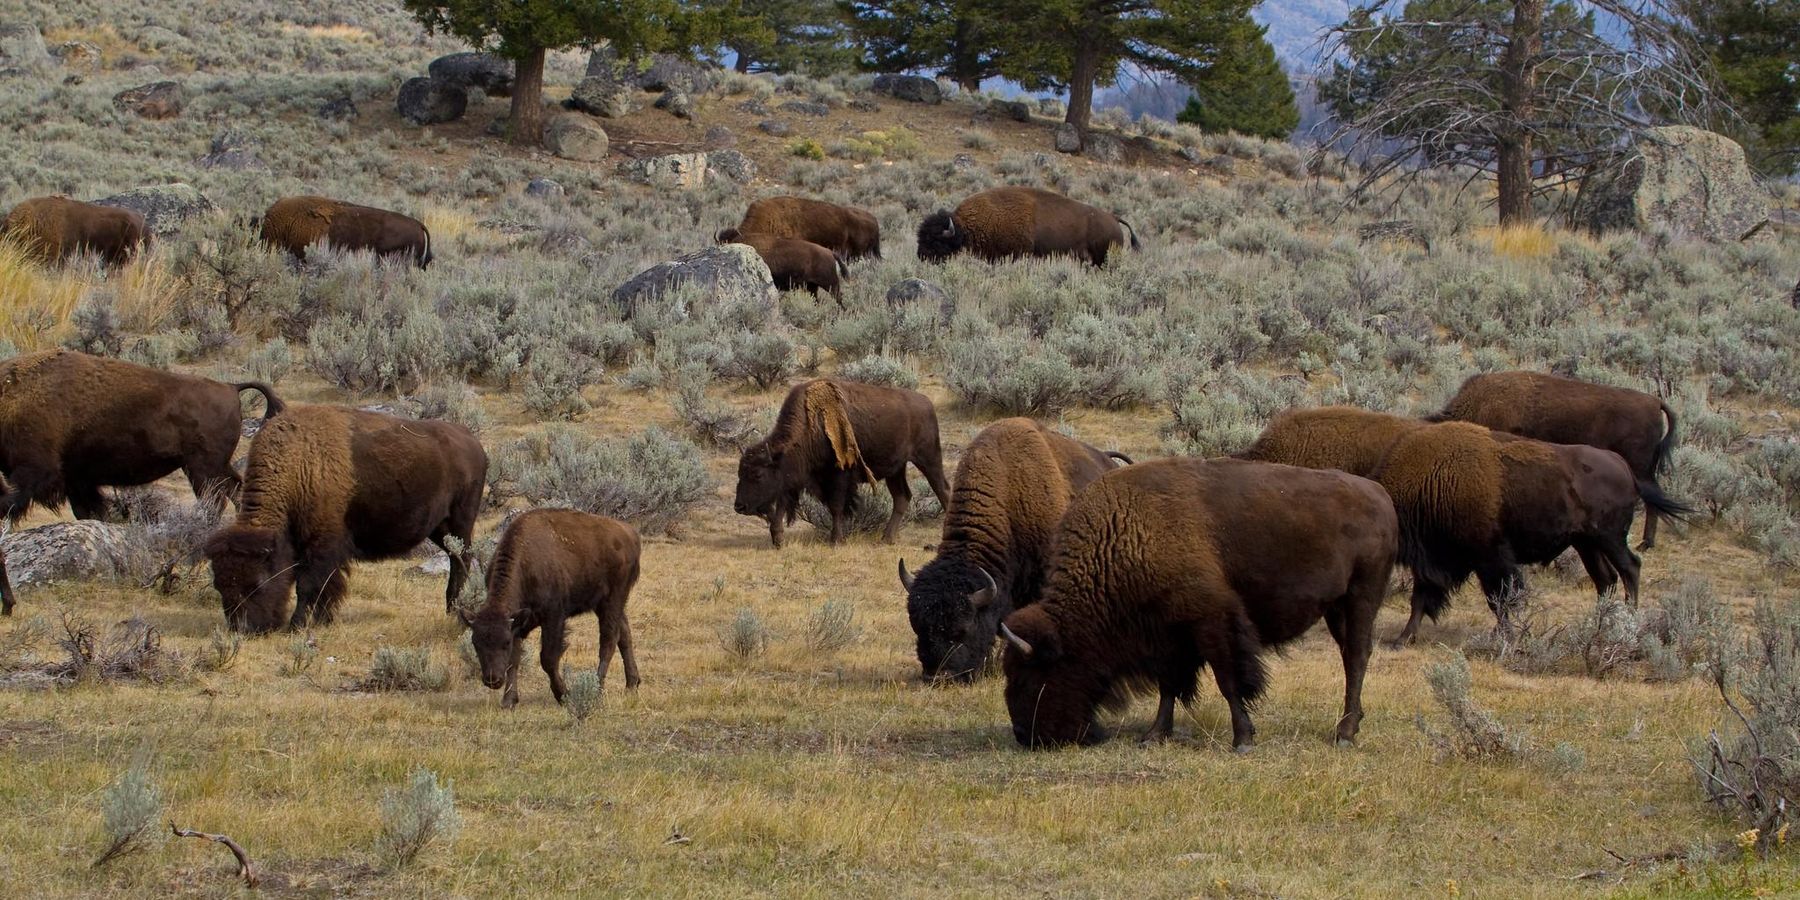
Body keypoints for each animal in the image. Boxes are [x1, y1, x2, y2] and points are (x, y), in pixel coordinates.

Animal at [0, 350, 282, 521]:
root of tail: (231, 388)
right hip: (213, 467)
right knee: (236, 490)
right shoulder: (78, 480)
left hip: (202, 469)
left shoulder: (36, 471)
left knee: (216, 500)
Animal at [205, 404, 486, 633]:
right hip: (440, 529)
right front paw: (322, 620)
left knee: (462, 559)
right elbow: (325, 585)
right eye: (219, 585)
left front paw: (298, 625)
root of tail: (473, 443)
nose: (243, 629)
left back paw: (456, 609)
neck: (299, 464)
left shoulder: (322, 545)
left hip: (461, 522)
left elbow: (309, 585)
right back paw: (451, 608)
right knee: (456, 558)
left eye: (257, 584)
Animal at [462, 508, 642, 708]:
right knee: (624, 634)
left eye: (505, 642)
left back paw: (597, 690)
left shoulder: (553, 617)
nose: (492, 680)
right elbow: (514, 661)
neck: (525, 563)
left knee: (608, 641)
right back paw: (632, 684)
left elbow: (548, 658)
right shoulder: (517, 623)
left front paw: (563, 695)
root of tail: (630, 534)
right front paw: (509, 701)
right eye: (475, 643)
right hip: (606, 604)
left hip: (612, 600)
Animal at [735, 379, 950, 547]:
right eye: (740, 474)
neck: (812, 425)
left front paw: (836, 540)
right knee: (902, 497)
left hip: (928, 458)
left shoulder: (838, 476)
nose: (739, 507)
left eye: (757, 475)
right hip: (896, 469)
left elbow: (836, 507)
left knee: (942, 489)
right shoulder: (792, 480)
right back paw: (886, 539)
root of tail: (927, 403)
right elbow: (782, 505)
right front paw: (778, 540)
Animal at [1000, 458, 1398, 751]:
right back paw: (1350, 726)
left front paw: (1242, 740)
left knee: (1357, 657)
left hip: (1361, 597)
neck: (1127, 531)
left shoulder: (1212, 622)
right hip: (1337, 608)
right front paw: (1153, 736)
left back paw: (1344, 734)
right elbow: (1169, 686)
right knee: (1350, 656)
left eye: (1028, 676)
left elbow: (1227, 680)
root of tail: (1379, 494)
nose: (1024, 735)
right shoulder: (1167, 636)